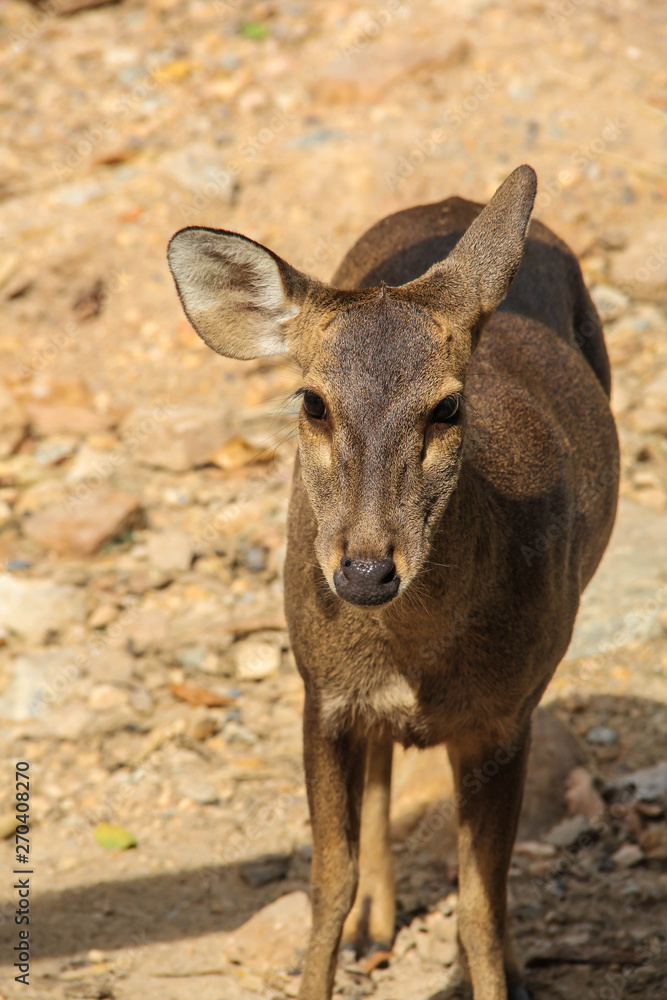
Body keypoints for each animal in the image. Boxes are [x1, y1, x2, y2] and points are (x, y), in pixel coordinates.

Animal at [168, 166, 620, 1000]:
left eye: (446, 406)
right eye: (312, 401)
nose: (366, 568)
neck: (415, 655)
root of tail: (451, 203)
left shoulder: (503, 718)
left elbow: (478, 905)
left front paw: (494, 971)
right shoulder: (320, 695)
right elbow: (327, 885)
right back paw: (376, 922)